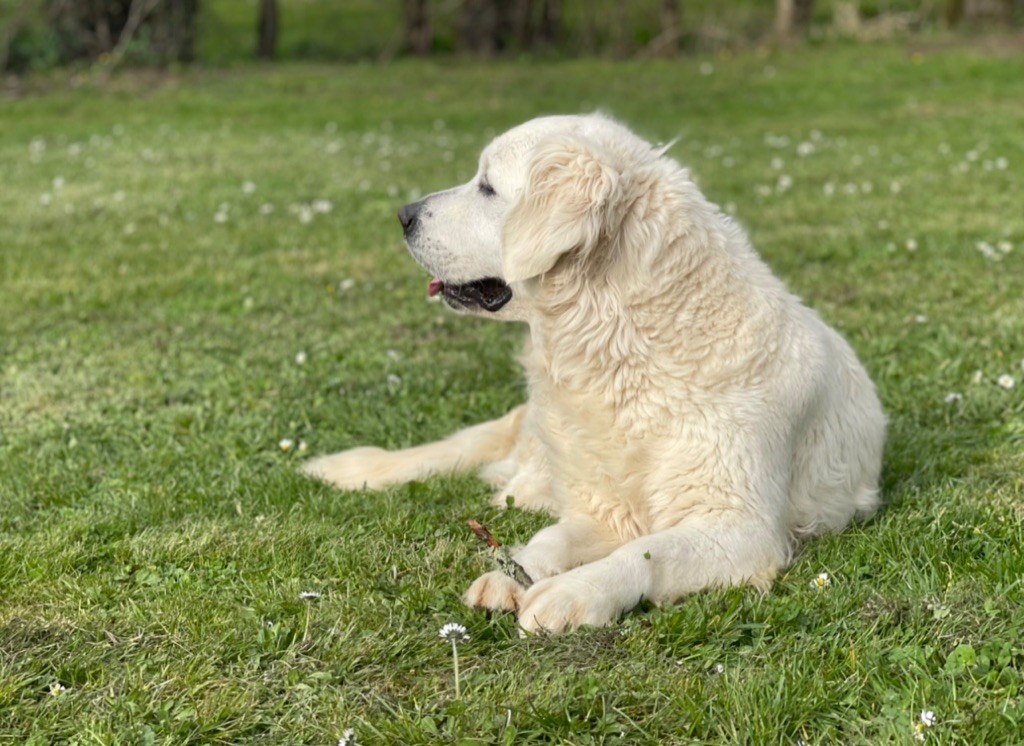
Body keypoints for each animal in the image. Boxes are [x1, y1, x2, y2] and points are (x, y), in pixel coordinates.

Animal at [299, 113, 884, 630]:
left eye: (487, 186)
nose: (403, 214)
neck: (622, 345)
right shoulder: (600, 509)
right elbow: (553, 538)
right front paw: (513, 572)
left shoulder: (741, 527)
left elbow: (648, 552)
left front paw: (574, 592)